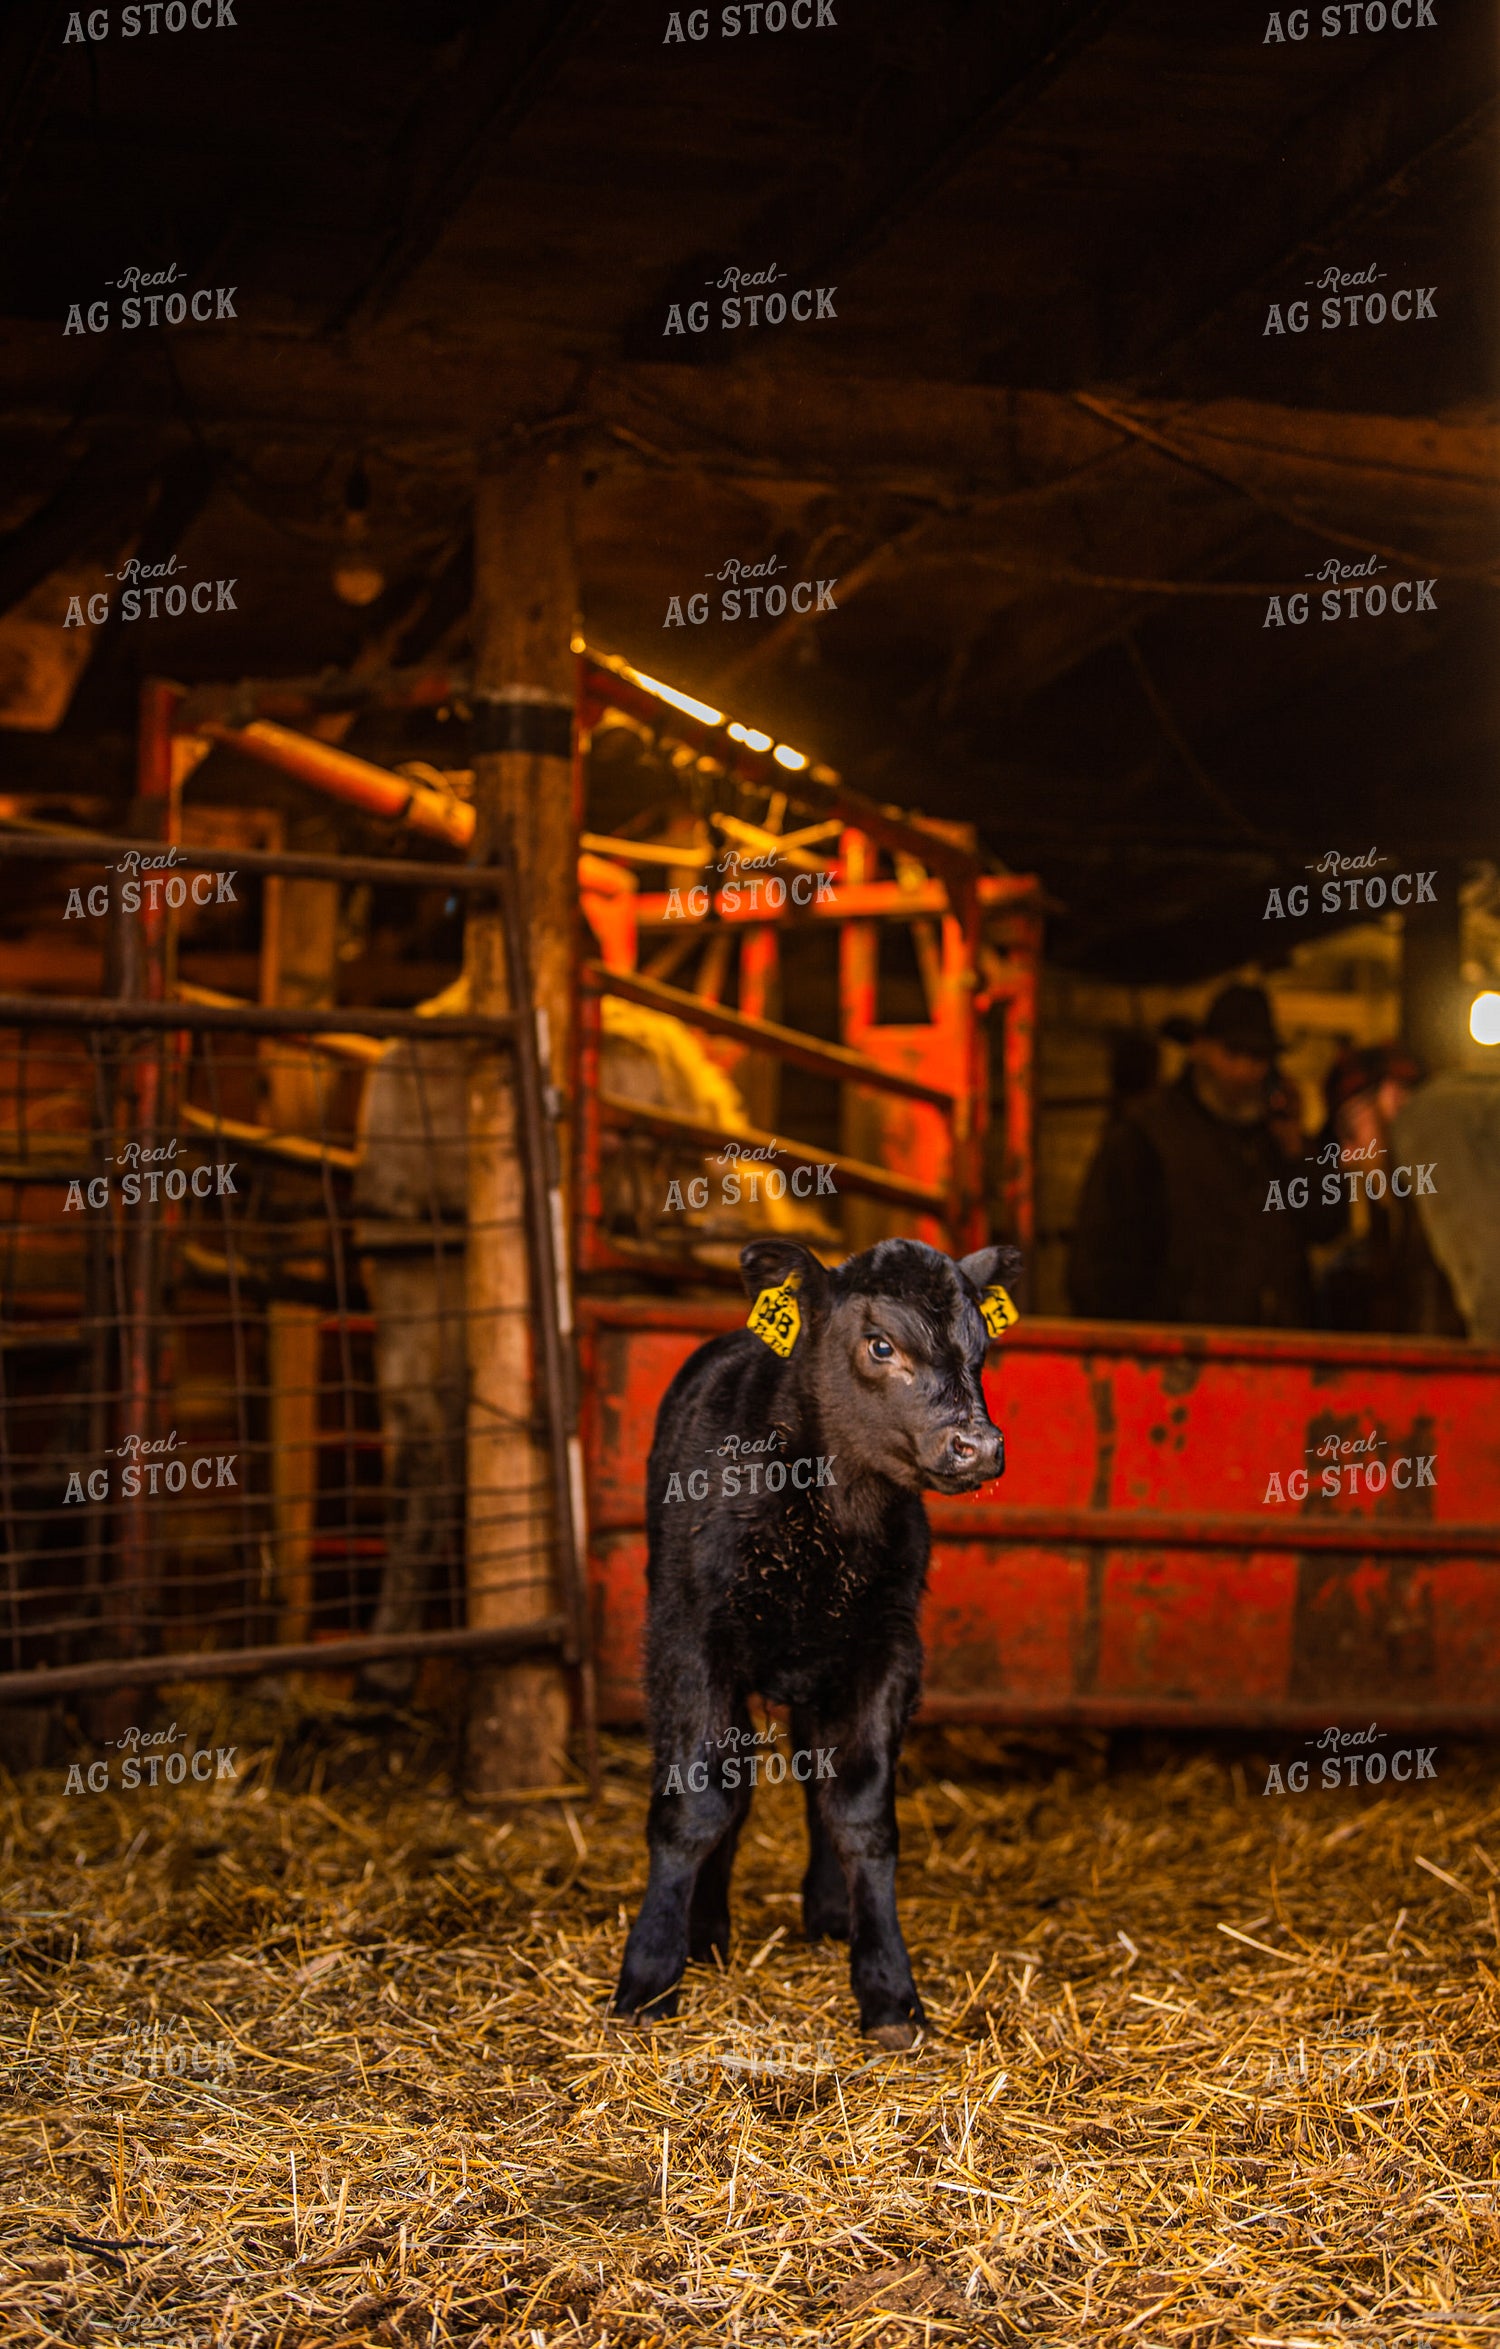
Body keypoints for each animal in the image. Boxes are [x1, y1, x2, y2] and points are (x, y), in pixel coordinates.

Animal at [611, 1232, 1021, 2048]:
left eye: (982, 1348)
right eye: (880, 1344)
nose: (979, 1445)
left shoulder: (888, 1649)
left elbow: (860, 1810)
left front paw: (888, 1989)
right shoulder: (688, 1637)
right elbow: (697, 1801)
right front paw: (650, 1973)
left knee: (813, 1776)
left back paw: (830, 1911)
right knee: (737, 1786)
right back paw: (707, 1929)